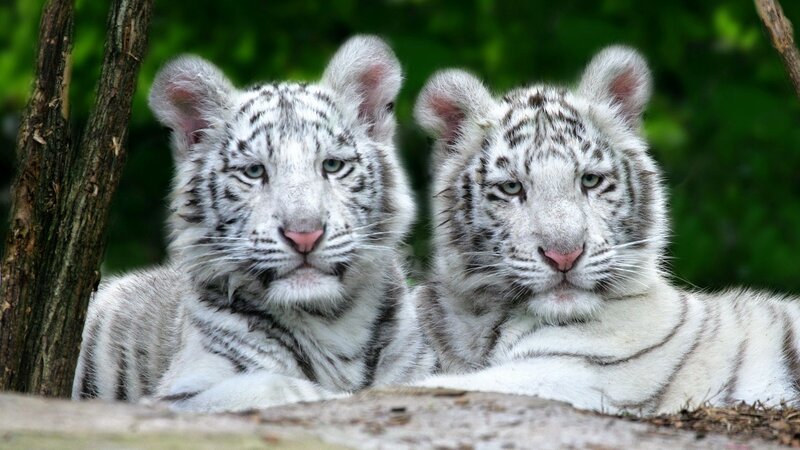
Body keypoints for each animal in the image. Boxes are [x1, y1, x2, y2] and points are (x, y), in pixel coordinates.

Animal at [71, 35, 436, 413]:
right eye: (254, 171)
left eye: (332, 165)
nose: (304, 235)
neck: (332, 322)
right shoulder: (179, 395)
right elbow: (277, 386)